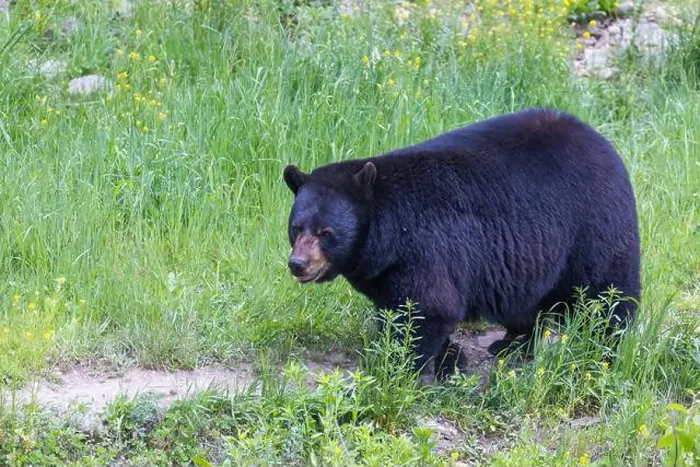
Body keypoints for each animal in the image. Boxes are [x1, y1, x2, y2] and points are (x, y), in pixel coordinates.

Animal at [282, 108, 641, 383]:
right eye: (296, 228)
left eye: (325, 232)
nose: (298, 264)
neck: (385, 235)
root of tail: (603, 142)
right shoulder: (384, 271)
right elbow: (399, 307)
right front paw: (449, 359)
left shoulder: (426, 248)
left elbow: (430, 306)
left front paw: (405, 371)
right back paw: (513, 343)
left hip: (592, 225)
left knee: (609, 293)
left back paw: (604, 348)